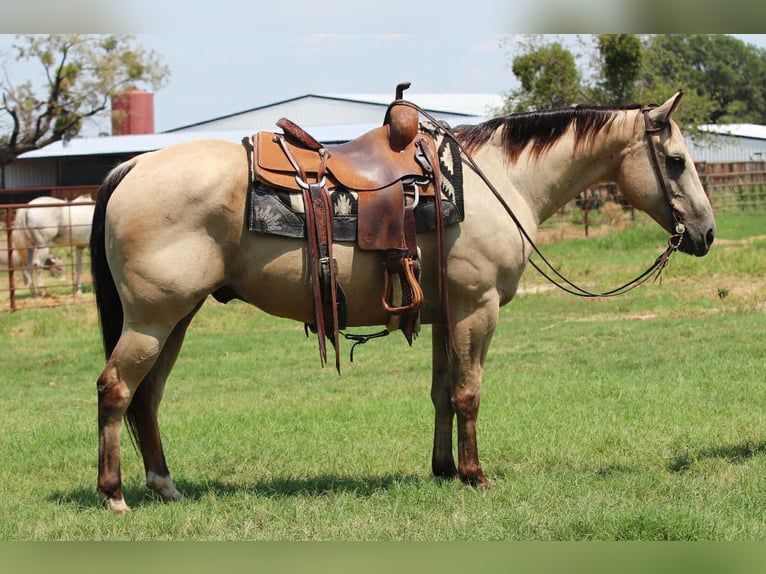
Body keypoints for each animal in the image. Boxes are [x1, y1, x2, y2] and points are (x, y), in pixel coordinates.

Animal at [90, 91, 715, 513]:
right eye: (677, 161)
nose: (705, 234)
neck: (499, 183)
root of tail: (135, 164)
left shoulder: (446, 315)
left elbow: (442, 394)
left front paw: (443, 470)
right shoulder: (477, 309)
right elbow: (468, 394)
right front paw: (476, 475)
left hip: (176, 318)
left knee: (147, 398)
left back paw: (165, 486)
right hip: (152, 318)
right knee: (115, 390)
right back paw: (115, 494)